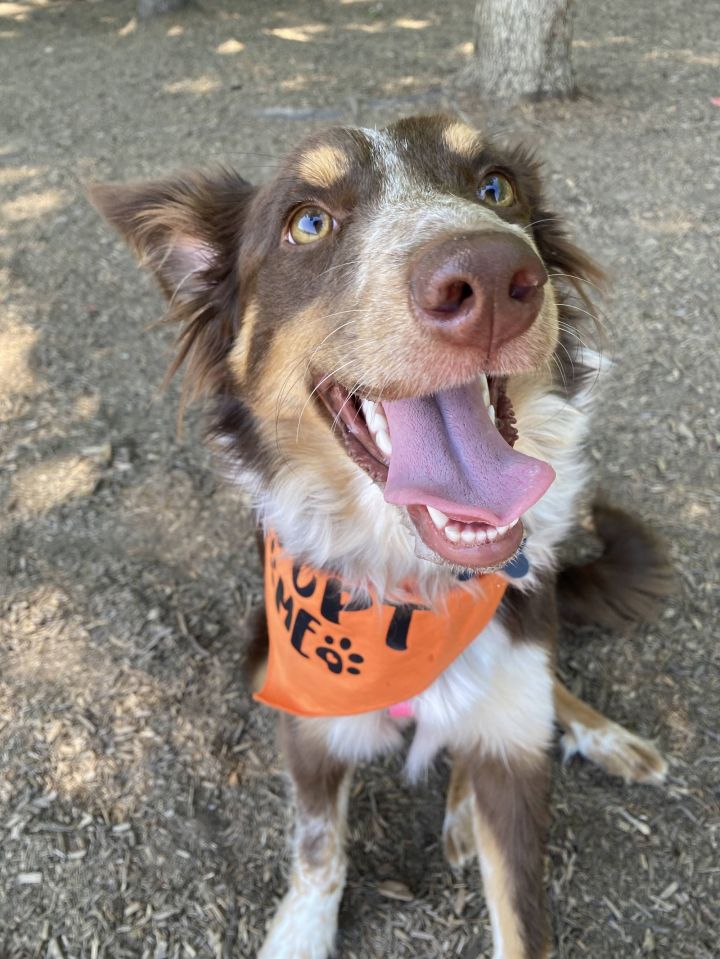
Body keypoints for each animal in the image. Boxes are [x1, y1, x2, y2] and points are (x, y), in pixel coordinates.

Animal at [93, 118, 672, 959]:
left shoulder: (514, 766)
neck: (411, 586)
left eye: (495, 187)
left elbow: (521, 908)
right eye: (307, 222)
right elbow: (318, 848)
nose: (492, 276)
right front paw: (300, 933)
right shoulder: (306, 719)